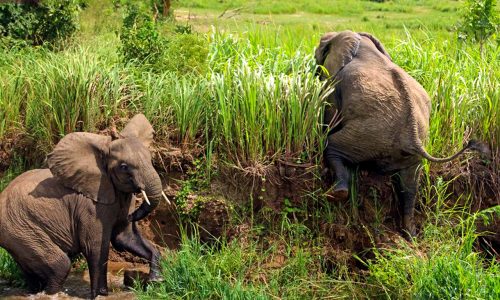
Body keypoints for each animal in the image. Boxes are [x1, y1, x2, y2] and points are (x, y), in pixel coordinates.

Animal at [0, 114, 170, 298]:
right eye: (124, 167)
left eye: (151, 160)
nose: (132, 216)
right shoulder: (91, 206)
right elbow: (95, 247)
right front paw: (99, 295)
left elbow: (125, 238)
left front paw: (156, 280)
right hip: (20, 228)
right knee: (60, 265)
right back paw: (49, 293)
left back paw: (33, 291)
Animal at [314, 30, 482, 237]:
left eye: (321, 47)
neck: (360, 42)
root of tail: (413, 136)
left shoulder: (335, 82)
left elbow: (330, 117)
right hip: (406, 151)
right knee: (409, 187)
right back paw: (410, 233)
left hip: (369, 135)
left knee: (333, 147)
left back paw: (336, 193)